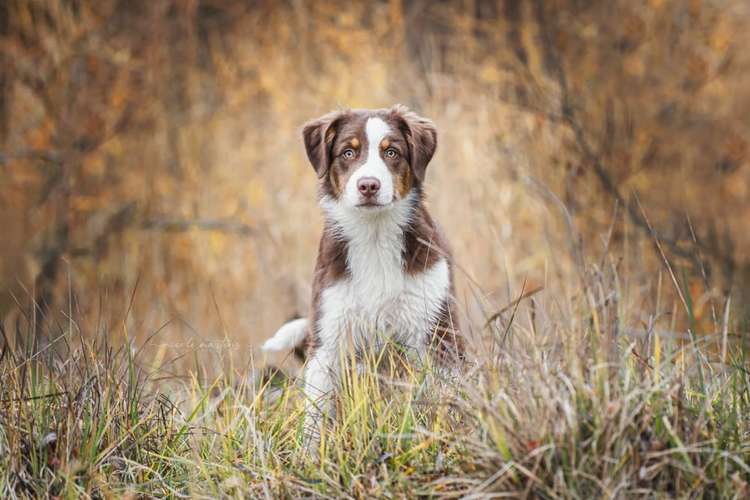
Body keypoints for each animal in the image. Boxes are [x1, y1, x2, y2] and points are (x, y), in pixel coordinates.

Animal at [262, 104, 464, 442]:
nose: (368, 185)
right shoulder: (329, 334)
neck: (375, 235)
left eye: (392, 152)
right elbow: (316, 415)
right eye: (347, 152)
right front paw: (311, 451)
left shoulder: (436, 330)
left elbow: (444, 398)